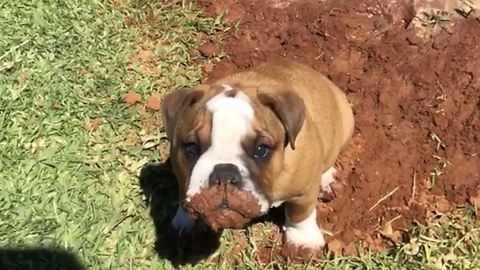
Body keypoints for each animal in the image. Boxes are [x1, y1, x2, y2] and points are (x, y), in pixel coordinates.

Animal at [160, 60, 352, 250]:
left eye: (261, 150)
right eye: (191, 148)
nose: (224, 174)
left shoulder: (303, 191)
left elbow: (300, 214)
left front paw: (302, 240)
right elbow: (184, 193)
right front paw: (185, 222)